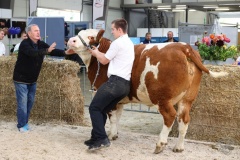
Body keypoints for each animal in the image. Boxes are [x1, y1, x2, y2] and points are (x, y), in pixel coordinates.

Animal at [67, 29, 227, 154]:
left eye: (91, 37)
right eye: (80, 32)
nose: (71, 40)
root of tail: (184, 47)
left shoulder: (106, 95)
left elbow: (111, 117)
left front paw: (110, 136)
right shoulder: (119, 101)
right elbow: (117, 117)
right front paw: (115, 134)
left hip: (162, 98)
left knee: (170, 116)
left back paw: (160, 144)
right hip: (187, 99)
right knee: (184, 119)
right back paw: (179, 147)